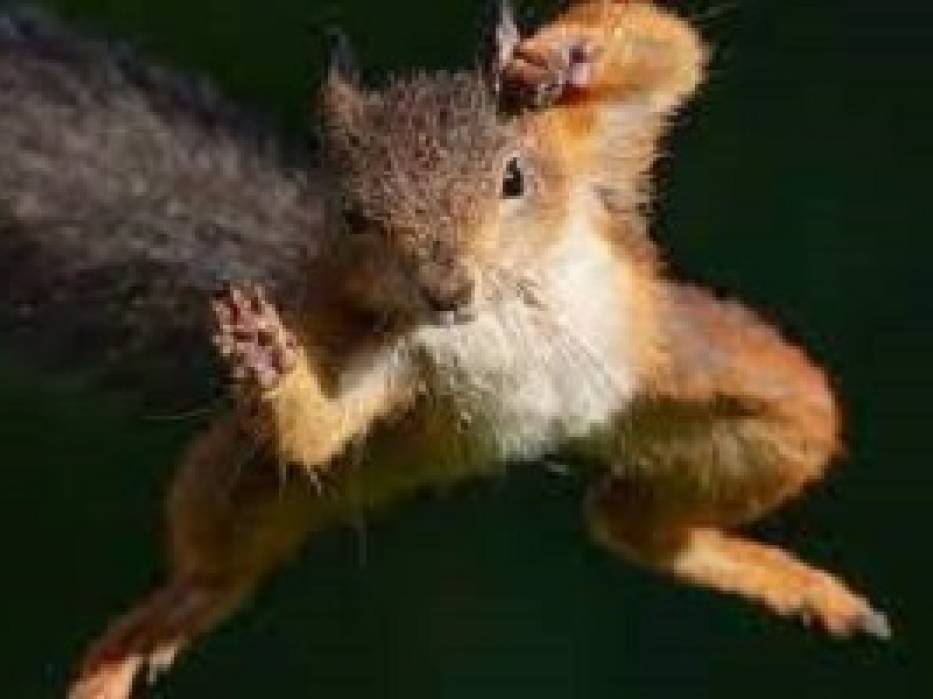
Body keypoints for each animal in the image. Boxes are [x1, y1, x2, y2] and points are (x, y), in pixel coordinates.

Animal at [0, 2, 889, 698]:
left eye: (513, 178)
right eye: (354, 217)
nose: (444, 290)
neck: (492, 307)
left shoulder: (589, 154)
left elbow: (667, 51)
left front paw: (559, 54)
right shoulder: (389, 355)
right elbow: (320, 425)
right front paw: (266, 357)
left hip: (731, 396)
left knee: (650, 514)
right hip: (292, 469)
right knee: (227, 548)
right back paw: (154, 625)